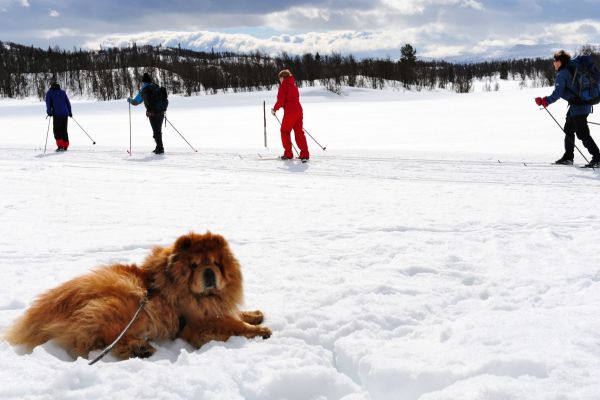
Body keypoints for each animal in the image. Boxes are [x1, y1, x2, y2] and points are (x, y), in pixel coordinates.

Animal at [4, 231, 272, 360]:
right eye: (195, 265)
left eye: (216, 263)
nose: (208, 273)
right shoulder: (198, 323)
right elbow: (231, 324)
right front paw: (259, 330)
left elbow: (234, 313)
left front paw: (254, 315)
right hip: (128, 301)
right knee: (96, 341)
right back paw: (139, 349)